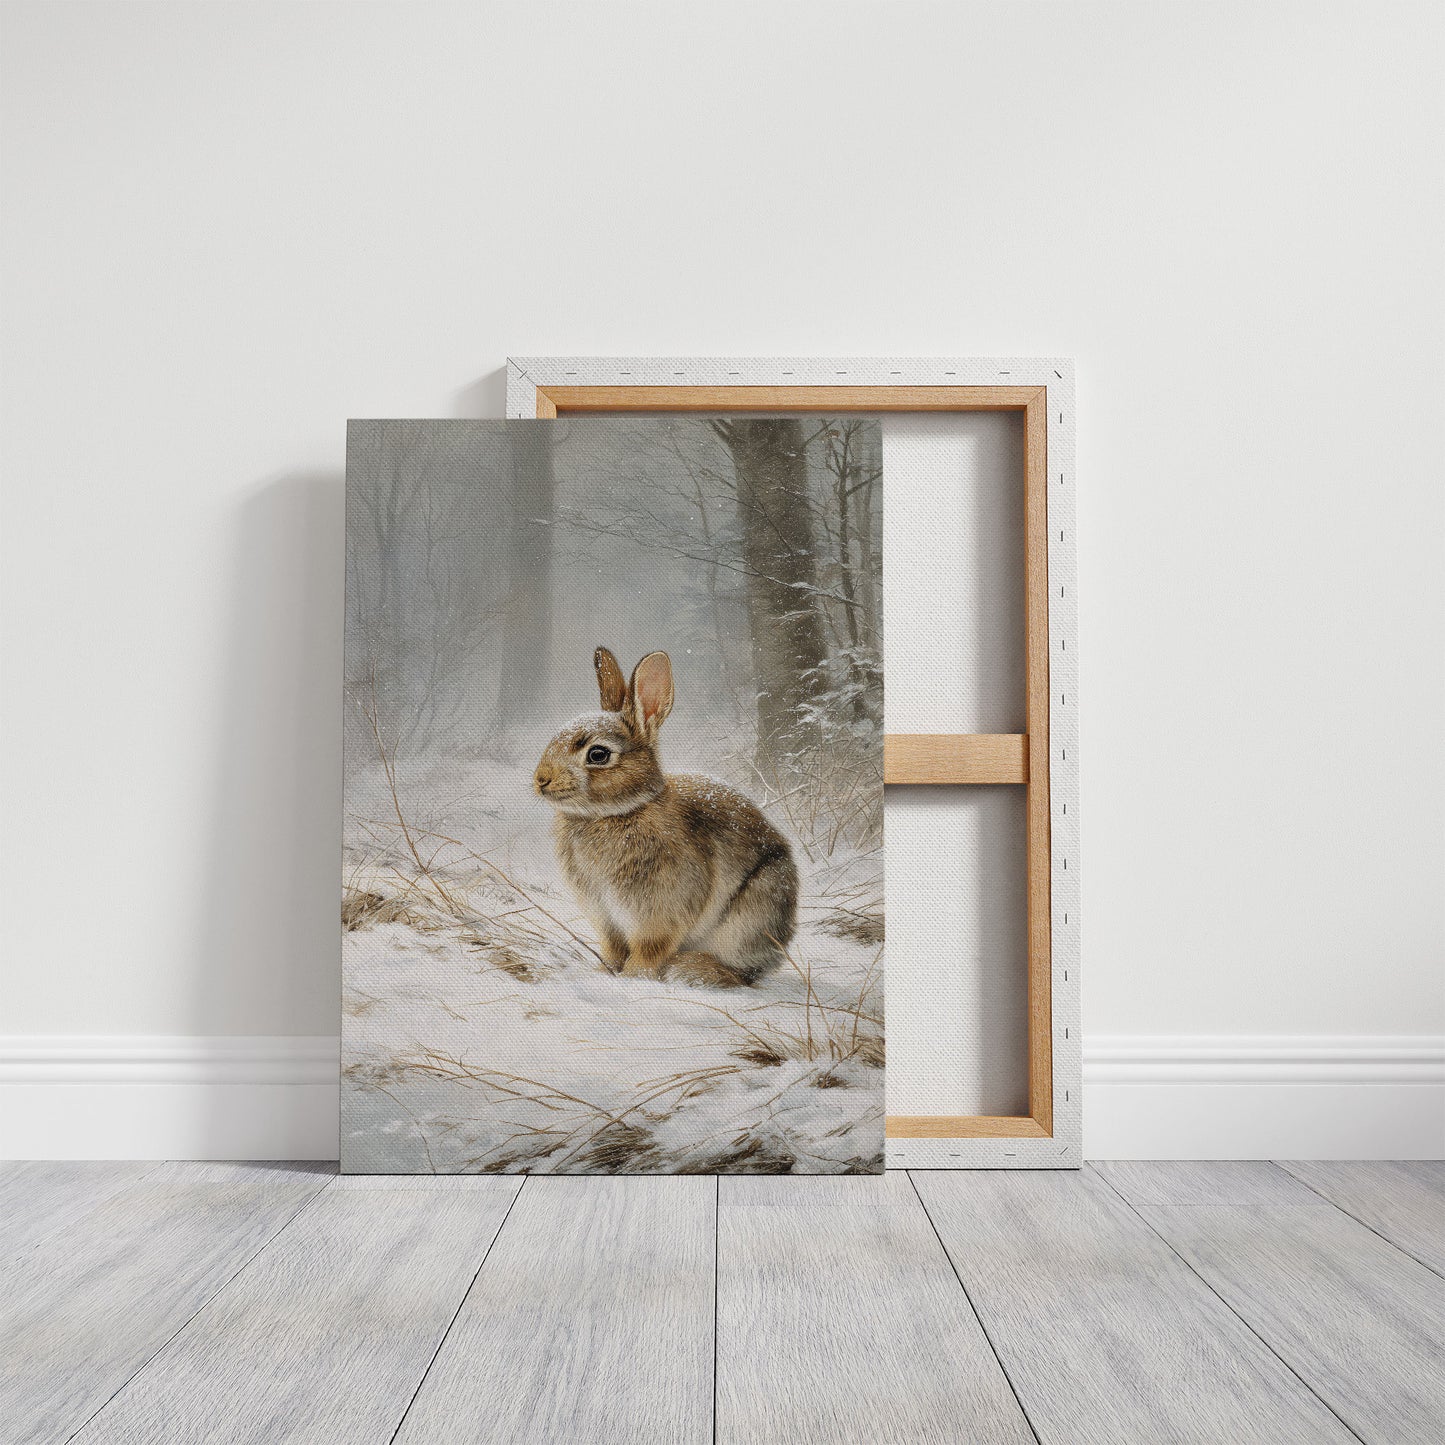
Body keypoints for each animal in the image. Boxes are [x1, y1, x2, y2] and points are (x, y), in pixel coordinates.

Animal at [533, 646, 798, 989]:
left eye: (598, 754)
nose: (541, 779)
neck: (621, 811)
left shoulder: (662, 913)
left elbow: (649, 949)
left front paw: (634, 978)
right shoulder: (605, 917)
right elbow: (613, 948)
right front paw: (604, 972)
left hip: (752, 914)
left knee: (742, 973)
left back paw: (690, 970)